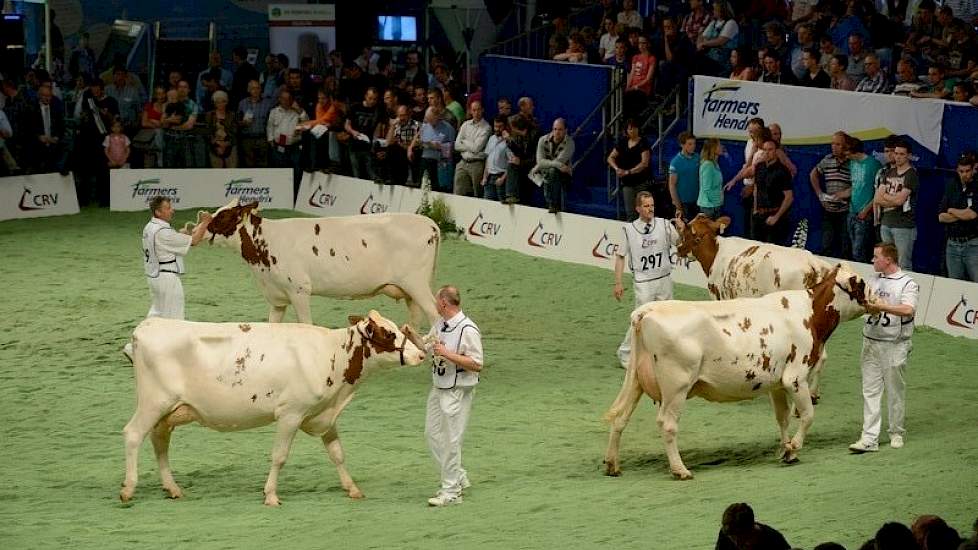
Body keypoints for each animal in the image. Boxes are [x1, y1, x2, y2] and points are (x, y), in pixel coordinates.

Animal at [120, 312, 426, 506]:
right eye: (388, 333)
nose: (421, 354)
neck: (333, 354)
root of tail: (148, 325)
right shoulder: (291, 413)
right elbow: (279, 456)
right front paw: (270, 496)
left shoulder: (323, 414)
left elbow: (337, 454)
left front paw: (353, 488)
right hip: (153, 403)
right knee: (133, 434)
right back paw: (128, 489)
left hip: (166, 411)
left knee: (159, 441)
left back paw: (172, 488)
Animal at [204, 201, 440, 330]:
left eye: (223, 216)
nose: (203, 226)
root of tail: (430, 224)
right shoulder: (277, 295)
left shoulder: (298, 290)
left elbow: (306, 324)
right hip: (411, 291)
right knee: (415, 320)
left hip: (416, 284)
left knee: (435, 314)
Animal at [600, 270, 856, 480]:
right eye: (861, 284)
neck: (807, 313)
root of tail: (647, 310)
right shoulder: (794, 378)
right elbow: (808, 415)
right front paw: (793, 448)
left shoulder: (776, 384)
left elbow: (782, 417)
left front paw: (786, 450)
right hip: (677, 386)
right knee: (668, 425)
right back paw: (680, 470)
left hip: (636, 381)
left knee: (620, 417)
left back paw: (612, 465)